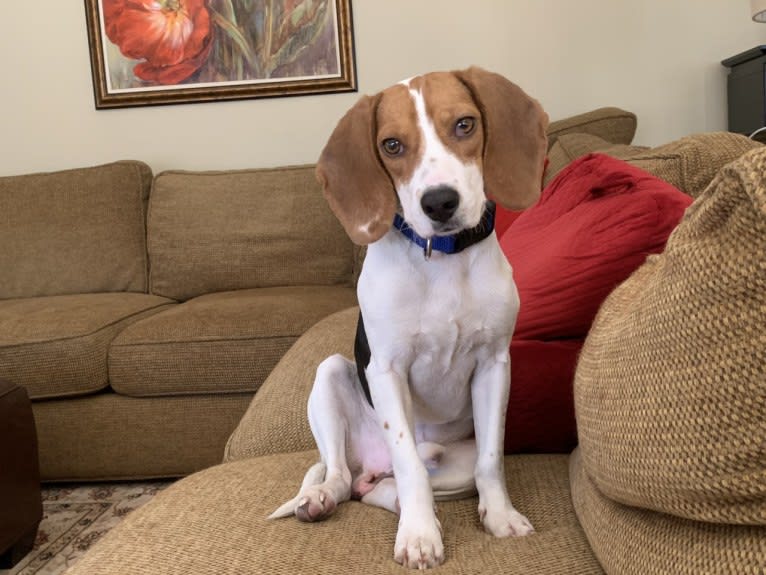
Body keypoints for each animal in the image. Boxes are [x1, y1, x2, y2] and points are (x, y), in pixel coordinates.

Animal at [270, 67, 544, 572]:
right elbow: (410, 464)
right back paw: (324, 498)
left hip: (454, 463)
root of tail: (369, 463)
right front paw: (419, 537)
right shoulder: (386, 370)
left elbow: (491, 461)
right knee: (344, 476)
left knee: (379, 488)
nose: (439, 202)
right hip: (330, 374)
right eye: (392, 145)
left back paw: (394, 498)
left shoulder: (494, 365)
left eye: (464, 124)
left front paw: (500, 517)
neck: (442, 260)